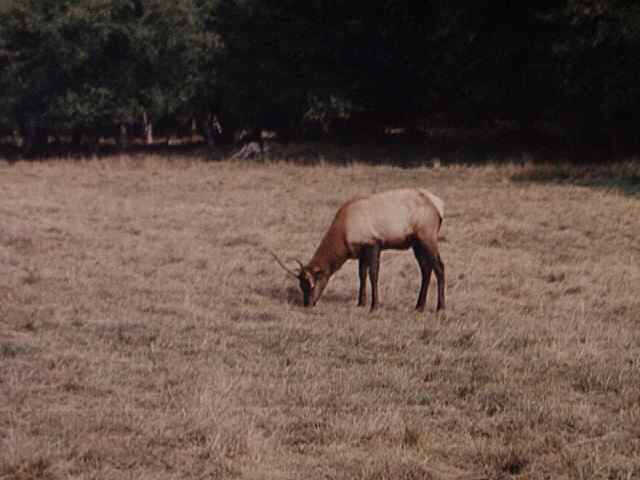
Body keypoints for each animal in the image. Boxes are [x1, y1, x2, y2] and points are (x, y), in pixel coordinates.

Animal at [271, 188, 445, 312]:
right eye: (301, 285)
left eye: (311, 284)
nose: (307, 304)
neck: (343, 234)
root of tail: (439, 206)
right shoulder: (361, 251)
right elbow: (361, 275)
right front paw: (361, 302)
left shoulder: (373, 244)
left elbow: (373, 275)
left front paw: (374, 306)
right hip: (417, 243)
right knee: (426, 269)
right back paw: (419, 306)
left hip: (427, 237)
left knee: (439, 267)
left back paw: (440, 307)